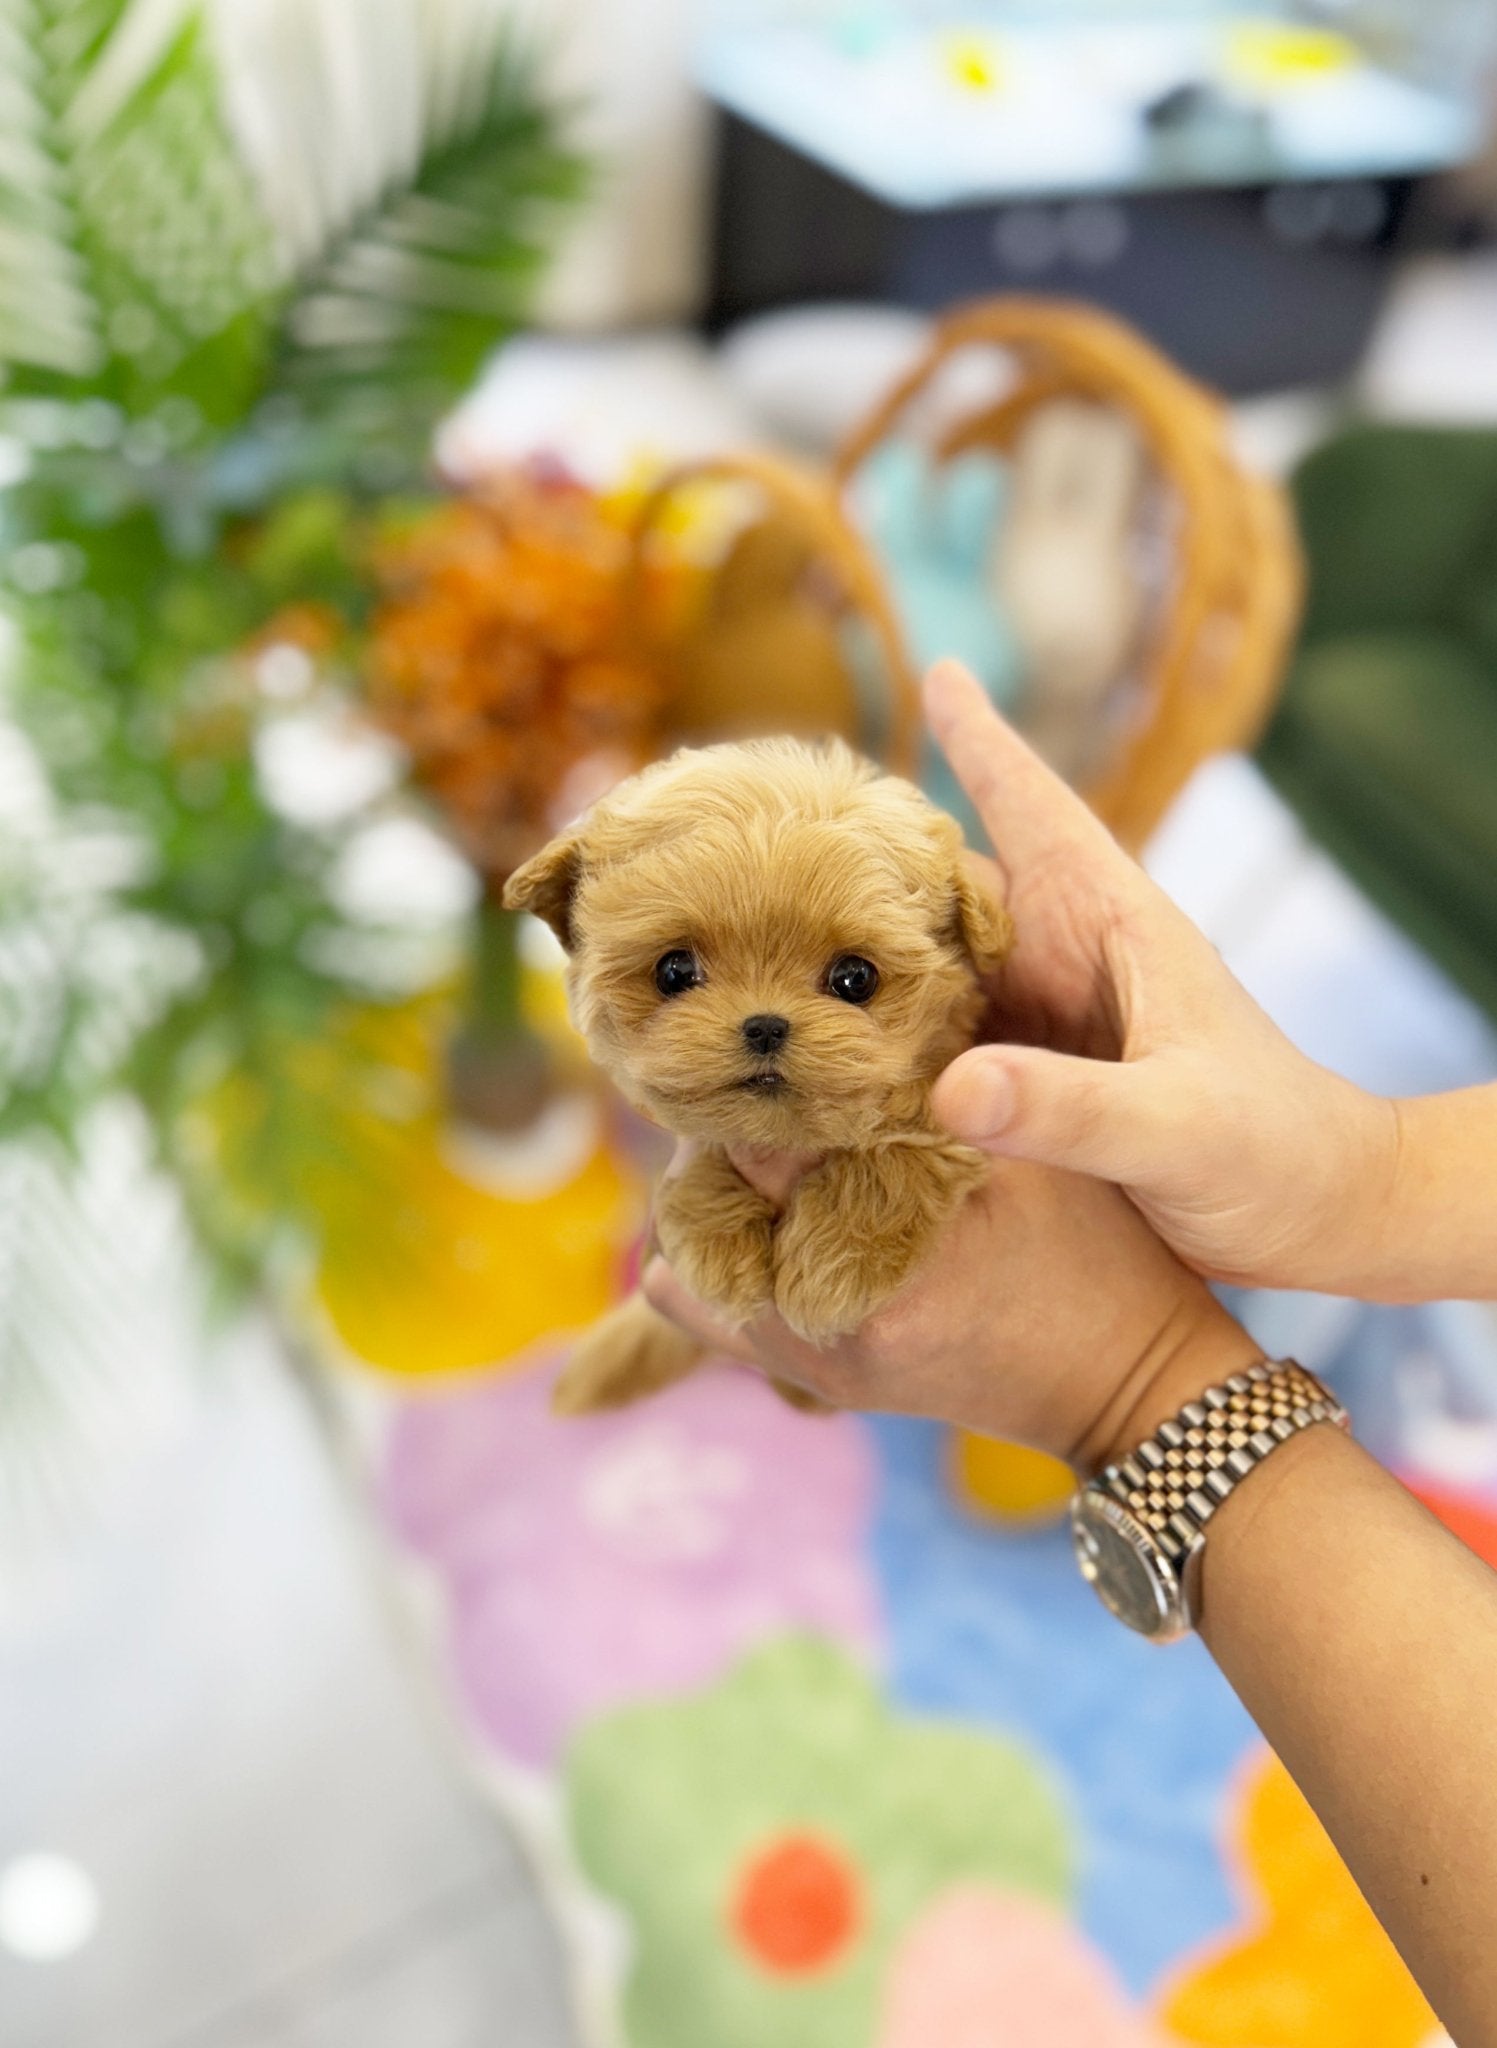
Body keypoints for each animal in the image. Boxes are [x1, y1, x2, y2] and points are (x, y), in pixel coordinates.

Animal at [505, 741, 1019, 1425]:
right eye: (674, 971)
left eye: (855, 978)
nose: (766, 1025)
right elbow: (703, 1153)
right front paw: (719, 1246)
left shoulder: (957, 1103)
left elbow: (895, 1155)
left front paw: (834, 1265)